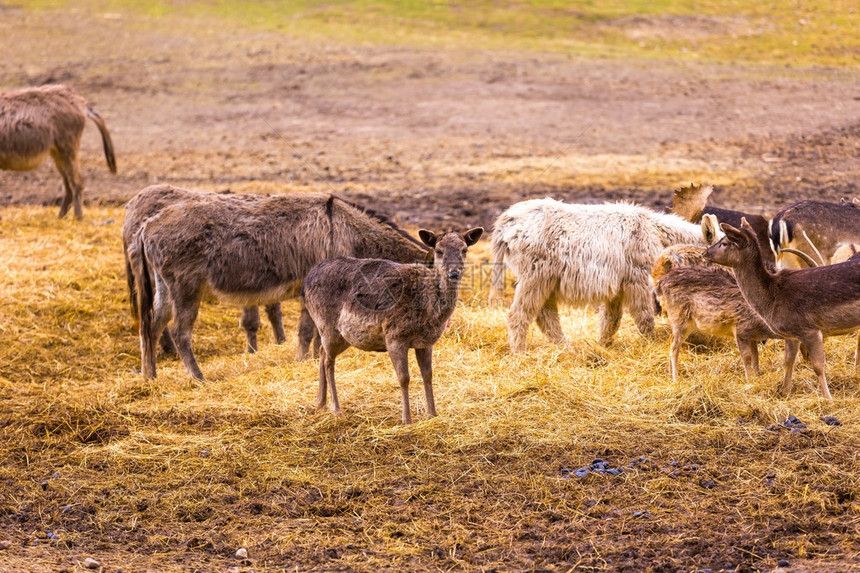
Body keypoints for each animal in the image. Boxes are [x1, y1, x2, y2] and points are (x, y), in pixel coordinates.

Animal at [0, 84, 116, 220]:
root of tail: (79, 101)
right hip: (58, 154)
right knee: (69, 187)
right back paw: (61, 218)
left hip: (68, 149)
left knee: (77, 183)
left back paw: (78, 219)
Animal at [128, 187, 430, 380]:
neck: (348, 231)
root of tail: (147, 225)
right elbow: (308, 331)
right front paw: (304, 361)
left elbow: (312, 332)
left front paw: (309, 359)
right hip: (186, 288)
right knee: (179, 332)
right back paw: (198, 377)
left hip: (165, 288)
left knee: (151, 326)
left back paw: (150, 377)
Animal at [304, 226, 484, 422]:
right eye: (439, 251)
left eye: (464, 250)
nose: (454, 273)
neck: (428, 313)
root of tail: (306, 281)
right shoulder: (394, 336)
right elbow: (404, 377)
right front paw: (407, 419)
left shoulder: (426, 342)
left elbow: (428, 375)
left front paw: (432, 414)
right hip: (327, 325)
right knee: (328, 361)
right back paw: (336, 409)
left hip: (343, 336)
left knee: (322, 353)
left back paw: (320, 403)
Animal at [490, 198, 704, 348]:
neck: (656, 232)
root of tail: (508, 219)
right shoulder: (638, 280)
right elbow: (644, 318)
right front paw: (652, 344)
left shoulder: (618, 288)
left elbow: (611, 320)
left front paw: (603, 345)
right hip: (536, 277)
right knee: (519, 316)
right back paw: (519, 354)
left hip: (545, 281)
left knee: (546, 318)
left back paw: (568, 350)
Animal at [704, 218, 860, 398]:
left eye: (724, 242)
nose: (705, 253)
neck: (771, 298)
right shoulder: (792, 334)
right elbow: (788, 361)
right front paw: (784, 393)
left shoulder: (810, 329)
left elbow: (818, 366)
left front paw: (828, 398)